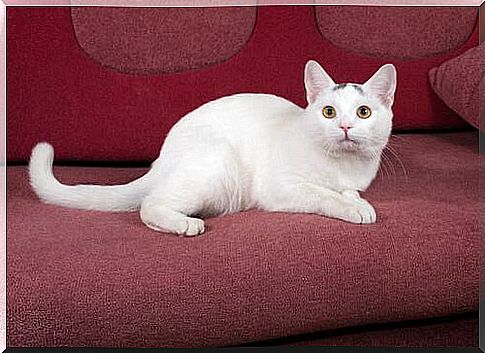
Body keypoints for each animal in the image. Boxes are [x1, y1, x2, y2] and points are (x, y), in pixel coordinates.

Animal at [28, 60, 396, 236]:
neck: (341, 165)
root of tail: (161, 159)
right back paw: (184, 224)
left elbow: (347, 191)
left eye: (363, 112)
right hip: (217, 164)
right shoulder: (281, 187)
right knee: (149, 205)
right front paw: (351, 207)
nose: (345, 126)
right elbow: (324, 194)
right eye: (329, 112)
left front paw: (358, 201)